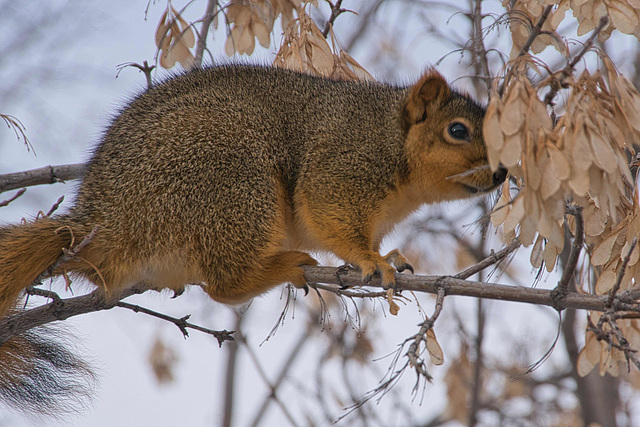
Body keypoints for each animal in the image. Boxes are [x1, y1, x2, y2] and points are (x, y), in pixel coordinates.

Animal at [0, 64, 508, 414]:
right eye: (457, 131)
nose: (504, 171)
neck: (390, 137)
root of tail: (104, 221)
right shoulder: (342, 166)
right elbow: (330, 215)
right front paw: (373, 261)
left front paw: (391, 253)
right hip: (235, 183)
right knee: (226, 284)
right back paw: (282, 265)